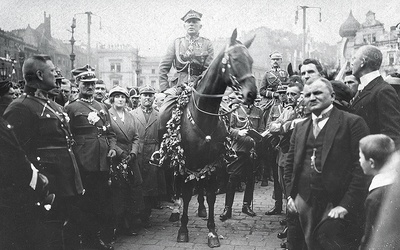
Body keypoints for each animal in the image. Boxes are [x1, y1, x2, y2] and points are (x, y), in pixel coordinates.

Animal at [159, 28, 256, 247]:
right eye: (235, 59)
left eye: (251, 60)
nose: (252, 94)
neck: (204, 115)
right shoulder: (188, 160)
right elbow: (186, 194)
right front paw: (183, 230)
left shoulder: (213, 161)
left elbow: (211, 194)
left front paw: (212, 231)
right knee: (177, 185)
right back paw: (176, 211)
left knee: (201, 185)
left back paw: (202, 209)